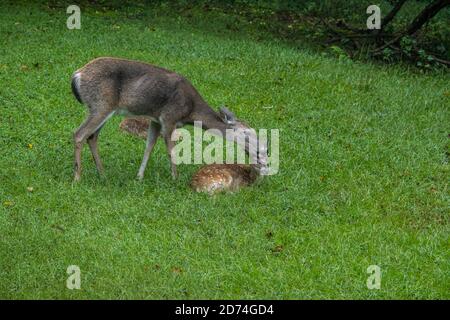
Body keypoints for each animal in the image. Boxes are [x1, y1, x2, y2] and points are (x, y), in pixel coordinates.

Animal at [71, 57, 268, 180]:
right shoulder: (169, 118)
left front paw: (139, 176)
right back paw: (78, 177)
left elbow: (149, 146)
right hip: (101, 105)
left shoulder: (155, 119)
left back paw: (103, 174)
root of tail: (77, 75)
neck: (190, 111)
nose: (263, 153)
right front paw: (175, 178)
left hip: (102, 109)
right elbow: (171, 150)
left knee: (92, 136)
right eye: (247, 133)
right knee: (79, 134)